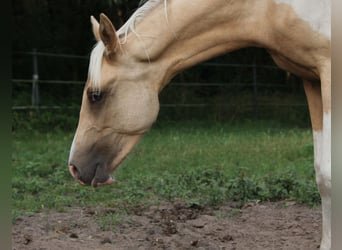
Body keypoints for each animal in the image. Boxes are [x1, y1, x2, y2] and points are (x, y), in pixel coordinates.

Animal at [68, 0, 330, 248]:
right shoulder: (310, 79)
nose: (74, 168)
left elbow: (328, 172)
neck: (268, 8)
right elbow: (320, 172)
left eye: (95, 95)